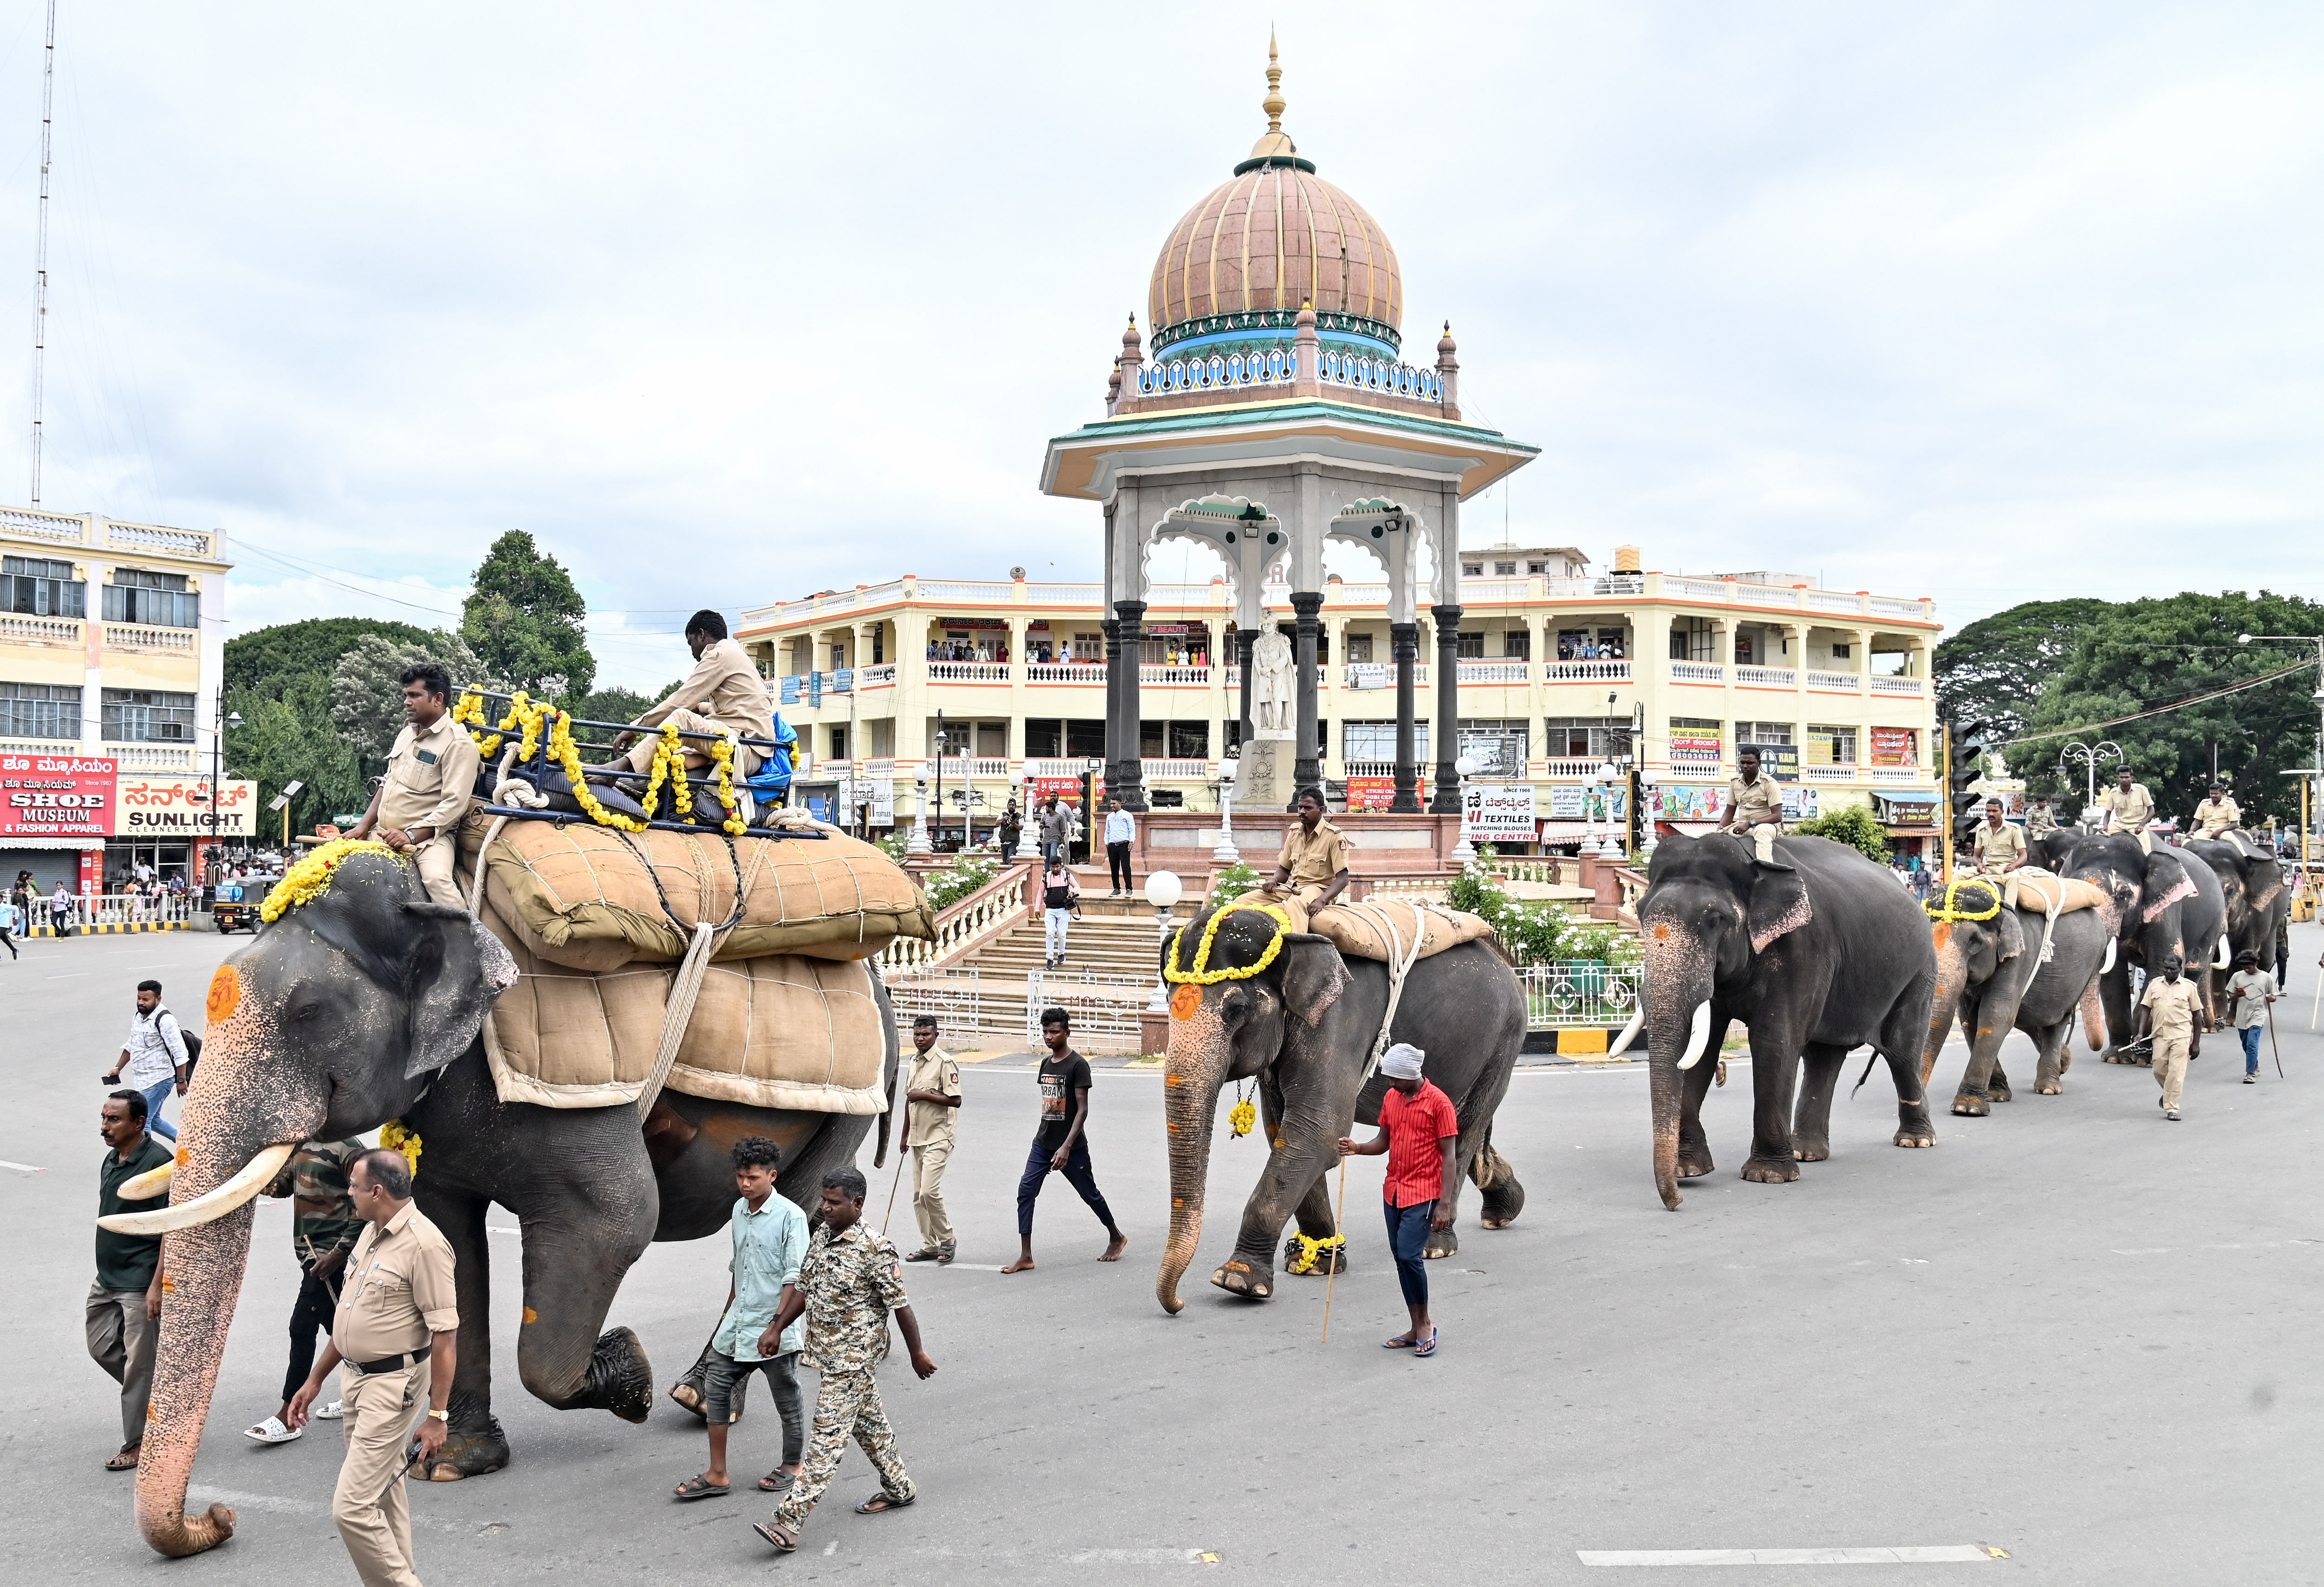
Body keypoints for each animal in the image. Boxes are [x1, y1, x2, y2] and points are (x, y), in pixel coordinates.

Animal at [98, 832, 915, 1561]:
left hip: (850, 1099)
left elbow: (617, 1220)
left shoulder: (575, 1096)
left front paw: (630, 1375)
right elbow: (448, 1244)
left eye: (308, 1013)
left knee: (799, 1214)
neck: (436, 895)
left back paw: (691, 1391)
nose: (218, 1517)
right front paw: (449, 1463)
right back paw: (699, 1391)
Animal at [1148, 901, 1524, 1320]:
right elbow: (1284, 1131)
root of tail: (1504, 962)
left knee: (1462, 1133)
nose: (1177, 1304)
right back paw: (1502, 1212)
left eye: (1236, 1009)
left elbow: (1318, 1132)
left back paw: (1435, 1245)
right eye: (1169, 1001)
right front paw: (1315, 1262)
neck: (1289, 934)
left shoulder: (1338, 1023)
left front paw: (1237, 1280)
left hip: (1504, 1040)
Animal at [1636, 827, 1943, 1208]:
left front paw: (1768, 1176)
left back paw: (1915, 1141)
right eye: (1640, 913)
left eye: (1714, 920)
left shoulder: (1803, 948)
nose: (1675, 1202)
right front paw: (1689, 1171)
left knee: (1902, 1050)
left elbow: (1774, 1042)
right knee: (1824, 1056)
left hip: (1920, 972)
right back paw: (1806, 1153)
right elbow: (1702, 1048)